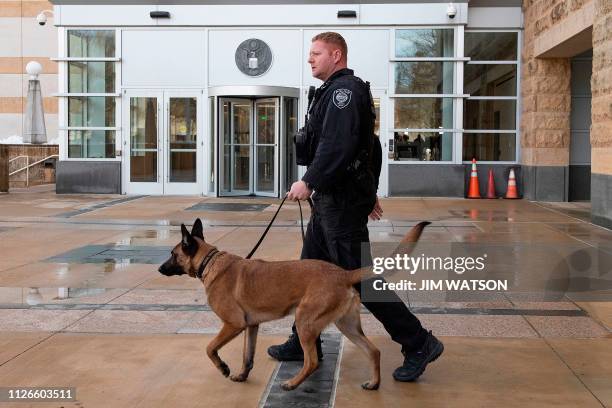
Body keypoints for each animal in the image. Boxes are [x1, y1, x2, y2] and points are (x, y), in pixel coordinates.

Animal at [160, 218, 428, 390]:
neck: (210, 261)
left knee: (312, 361)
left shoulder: (233, 325)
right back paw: (374, 383)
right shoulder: (251, 327)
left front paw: (223, 368)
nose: (159, 269)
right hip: (347, 326)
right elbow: (248, 356)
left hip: (304, 322)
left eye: (173, 254)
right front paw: (242, 376)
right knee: (373, 351)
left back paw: (292, 383)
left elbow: (209, 348)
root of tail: (343, 273)